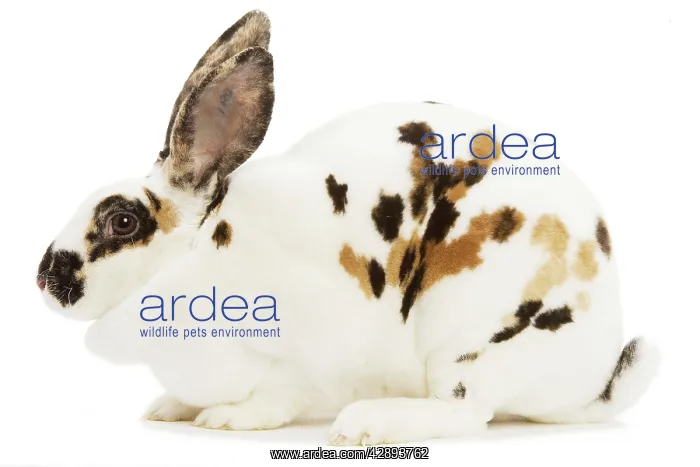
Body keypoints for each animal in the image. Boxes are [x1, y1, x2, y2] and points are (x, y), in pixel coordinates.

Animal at [36, 10, 659, 445]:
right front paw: (170, 409)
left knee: (466, 409)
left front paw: (228, 419)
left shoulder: (313, 348)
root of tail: (589, 384)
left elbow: (280, 396)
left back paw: (367, 424)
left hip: (469, 337)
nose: (45, 279)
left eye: (121, 221)